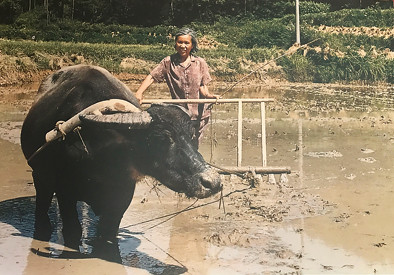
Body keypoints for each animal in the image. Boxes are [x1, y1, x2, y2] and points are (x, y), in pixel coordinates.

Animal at [20, 64, 222, 250]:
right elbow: (73, 230)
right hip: (39, 175)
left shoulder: (121, 197)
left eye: (192, 135)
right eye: (162, 138)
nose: (212, 182)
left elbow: (107, 232)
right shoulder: (64, 192)